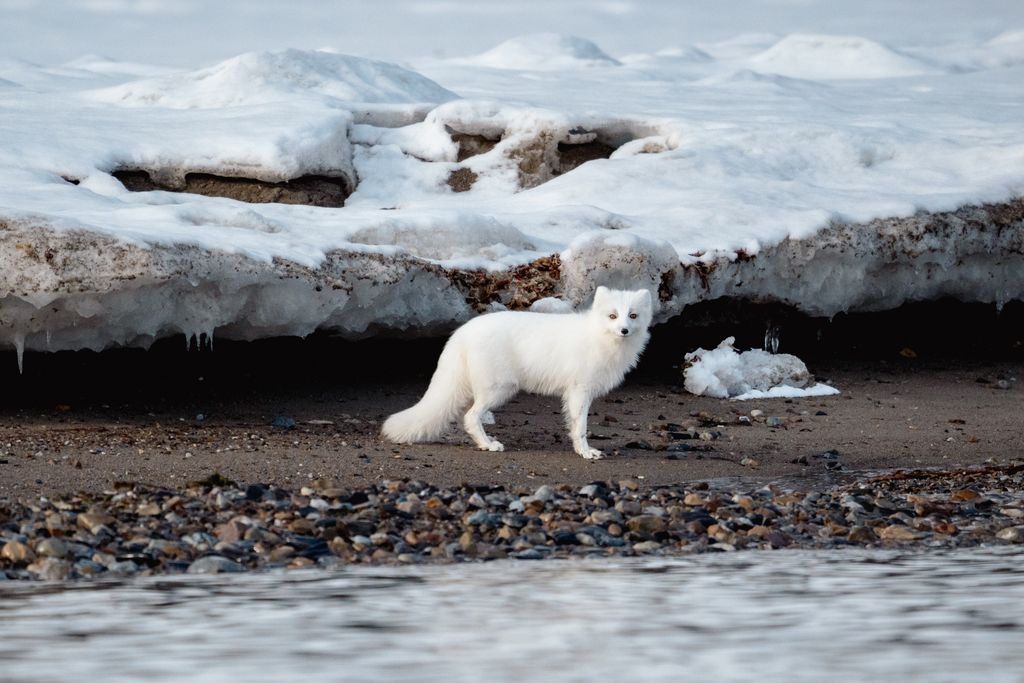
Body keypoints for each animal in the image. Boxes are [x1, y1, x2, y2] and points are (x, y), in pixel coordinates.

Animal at [381, 286, 654, 459]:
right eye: (612, 316)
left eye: (632, 315)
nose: (624, 330)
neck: (598, 336)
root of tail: (462, 332)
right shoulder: (580, 390)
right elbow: (580, 426)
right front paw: (585, 452)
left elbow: (573, 424)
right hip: (499, 389)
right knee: (470, 417)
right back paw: (489, 445)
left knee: (466, 417)